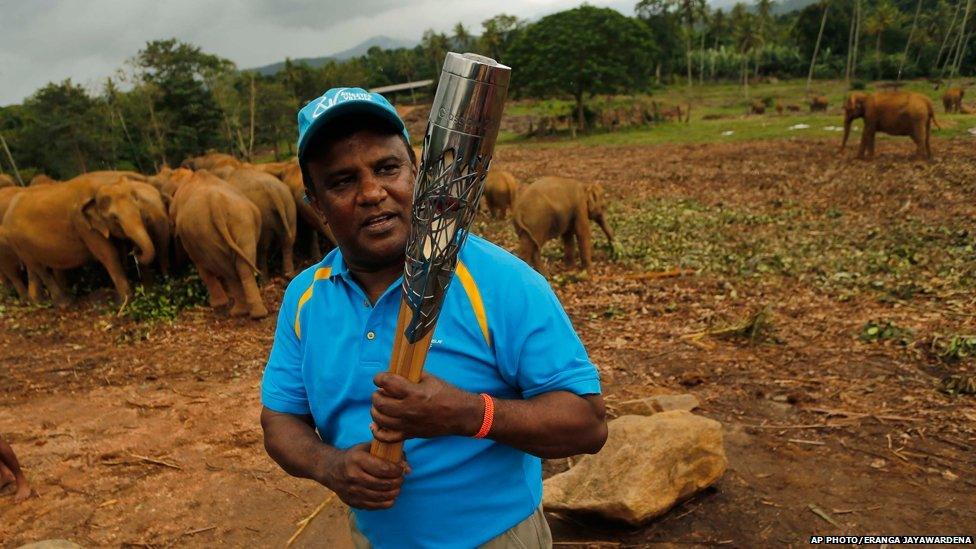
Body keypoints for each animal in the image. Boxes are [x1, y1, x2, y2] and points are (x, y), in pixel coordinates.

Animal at [1, 178, 155, 304]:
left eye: (139, 209)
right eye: (114, 218)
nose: (136, 251)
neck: (99, 186)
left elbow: (119, 250)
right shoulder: (83, 225)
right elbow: (109, 254)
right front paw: (126, 301)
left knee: (33, 268)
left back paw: (38, 302)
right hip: (17, 242)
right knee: (39, 268)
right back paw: (64, 303)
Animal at [169, 169, 266, 318]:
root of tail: (215, 203)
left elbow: (201, 268)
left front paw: (217, 305)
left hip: (204, 232)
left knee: (228, 270)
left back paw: (236, 312)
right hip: (241, 220)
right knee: (243, 264)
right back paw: (257, 314)